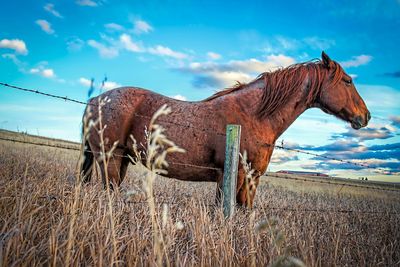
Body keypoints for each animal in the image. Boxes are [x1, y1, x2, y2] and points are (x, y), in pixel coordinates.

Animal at [80, 52, 368, 207]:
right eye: (348, 80)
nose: (365, 116)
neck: (255, 115)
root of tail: (96, 99)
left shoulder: (251, 179)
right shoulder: (234, 176)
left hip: (122, 160)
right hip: (110, 159)